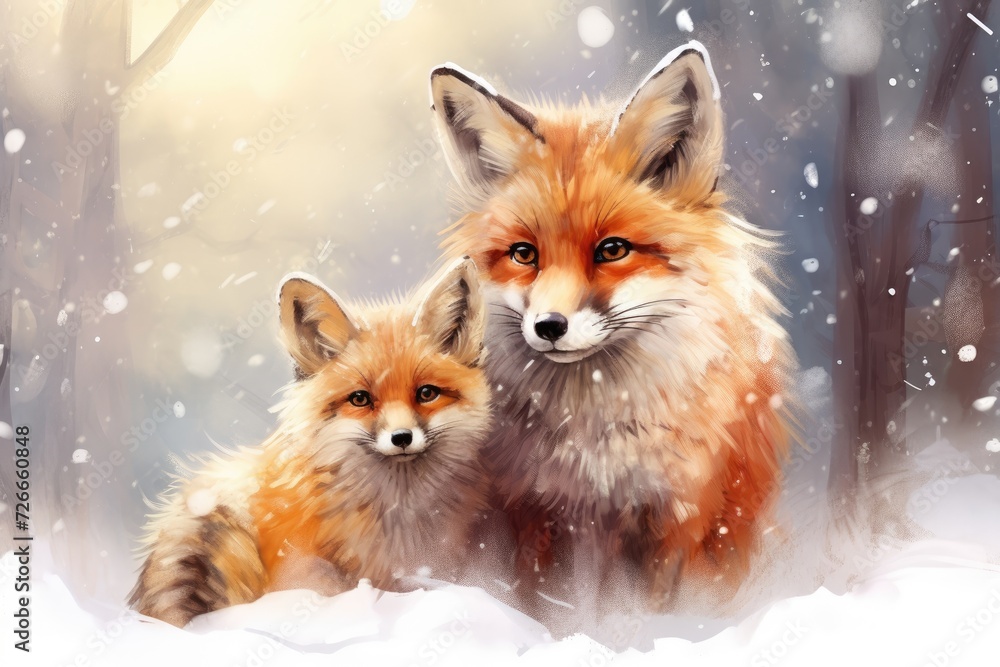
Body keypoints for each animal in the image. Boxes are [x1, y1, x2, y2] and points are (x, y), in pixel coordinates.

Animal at [429, 42, 795, 613]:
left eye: (612, 250)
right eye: (524, 254)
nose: (548, 326)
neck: (597, 448)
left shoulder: (682, 517)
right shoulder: (537, 514)